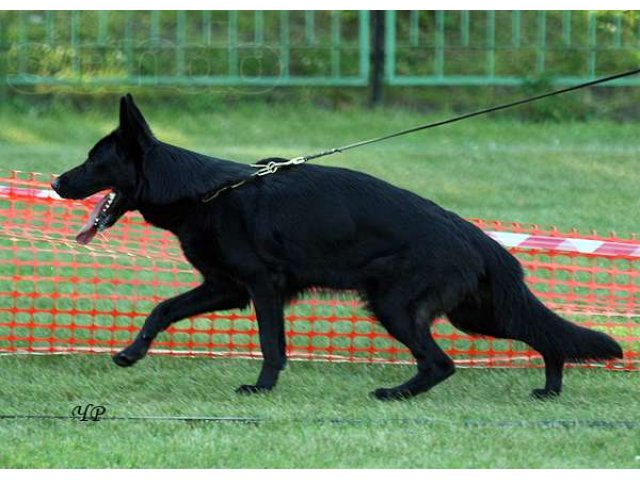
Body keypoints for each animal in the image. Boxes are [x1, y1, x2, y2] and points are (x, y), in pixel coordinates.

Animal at [52, 95, 624, 400]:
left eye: (93, 160)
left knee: (441, 363)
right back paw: (550, 388)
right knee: (544, 337)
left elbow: (271, 343)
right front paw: (130, 353)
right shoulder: (226, 288)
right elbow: (162, 309)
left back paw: (395, 395)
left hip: (396, 307)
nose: (57, 182)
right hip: (475, 314)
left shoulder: (261, 289)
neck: (205, 191)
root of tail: (476, 235)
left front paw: (261, 388)